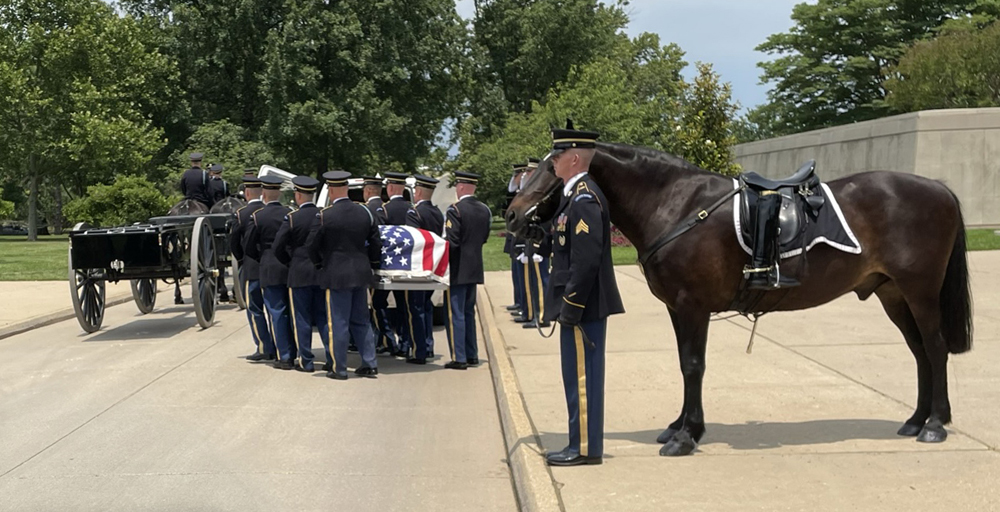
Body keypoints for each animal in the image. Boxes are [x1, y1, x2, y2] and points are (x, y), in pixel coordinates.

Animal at [504, 142, 972, 458]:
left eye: (550, 167)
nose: (511, 214)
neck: (675, 203)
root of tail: (940, 188)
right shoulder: (678, 308)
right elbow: (684, 363)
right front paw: (679, 426)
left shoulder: (692, 305)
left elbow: (693, 366)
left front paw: (686, 436)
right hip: (893, 294)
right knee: (919, 352)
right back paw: (915, 420)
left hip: (919, 291)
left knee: (935, 348)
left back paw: (934, 424)